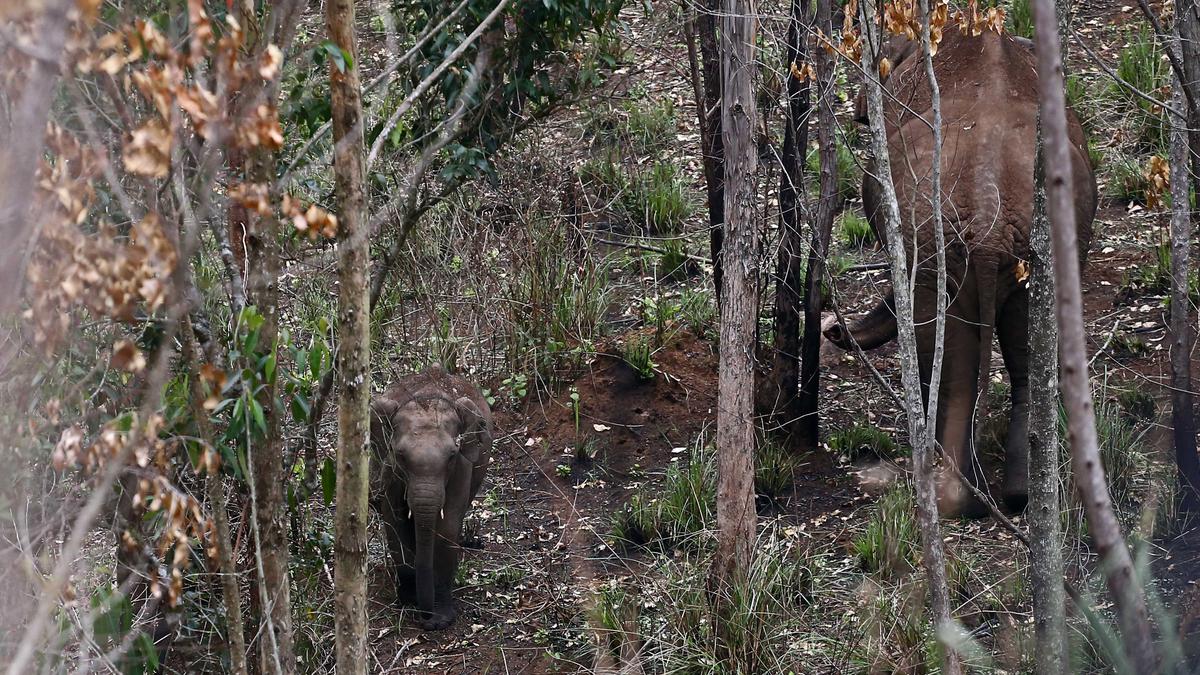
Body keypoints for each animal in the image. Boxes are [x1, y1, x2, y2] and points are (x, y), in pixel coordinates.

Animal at [369, 365, 492, 629]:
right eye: (400, 455)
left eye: (451, 455)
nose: (425, 618)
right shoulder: (391, 471)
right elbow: (395, 522)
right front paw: (407, 600)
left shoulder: (462, 466)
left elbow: (447, 528)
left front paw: (440, 620)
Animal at [825, 24, 1099, 514]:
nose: (831, 329)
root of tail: (991, 231)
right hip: (1041, 255)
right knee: (1028, 358)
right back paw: (1018, 495)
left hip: (939, 258)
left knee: (951, 365)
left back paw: (955, 492)